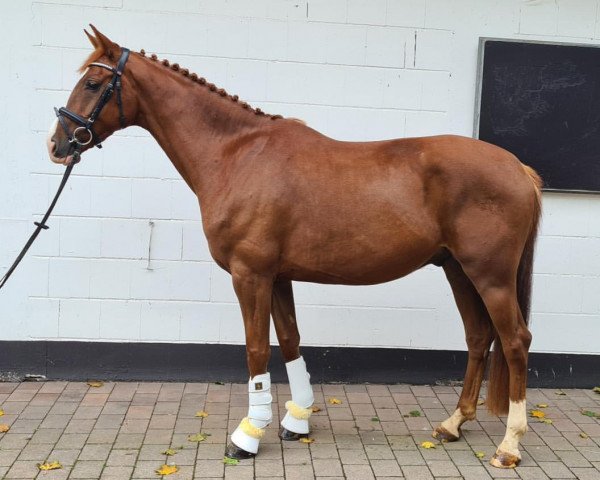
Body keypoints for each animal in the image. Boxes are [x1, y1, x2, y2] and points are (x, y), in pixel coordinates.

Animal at [49, 27, 540, 468]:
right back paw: (453, 424)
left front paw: (247, 436)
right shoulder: (278, 276)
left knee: (515, 341)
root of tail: (519, 168)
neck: (236, 154)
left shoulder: (250, 274)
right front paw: (296, 420)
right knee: (478, 337)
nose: (57, 145)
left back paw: (509, 446)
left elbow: (256, 350)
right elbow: (290, 342)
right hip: (457, 269)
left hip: (490, 276)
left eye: (93, 84)